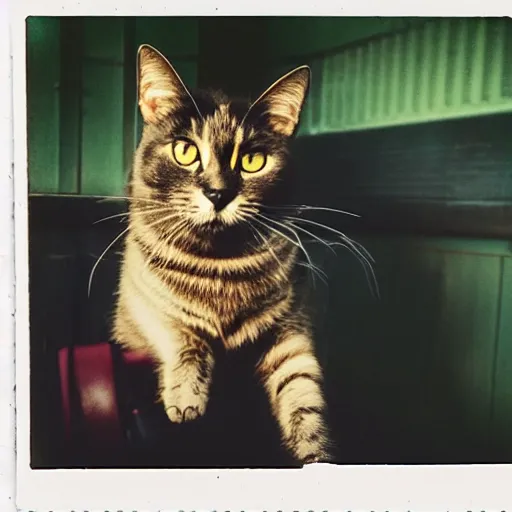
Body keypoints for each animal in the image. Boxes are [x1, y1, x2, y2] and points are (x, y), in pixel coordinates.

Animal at [113, 45, 332, 464]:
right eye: (185, 151)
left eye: (252, 160)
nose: (218, 193)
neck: (220, 265)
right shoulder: (141, 298)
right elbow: (182, 334)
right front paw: (186, 398)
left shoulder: (292, 327)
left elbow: (304, 394)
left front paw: (316, 453)